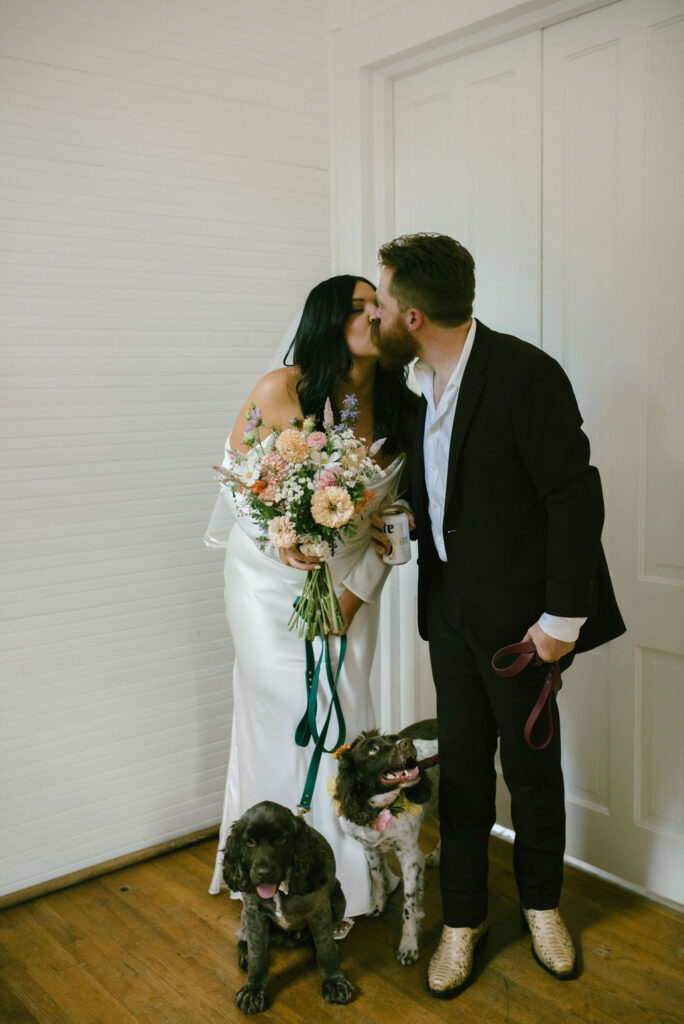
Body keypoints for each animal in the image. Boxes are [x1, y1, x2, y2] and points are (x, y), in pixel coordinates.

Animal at [223, 802, 356, 1011]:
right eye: (250, 842)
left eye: (280, 840)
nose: (262, 872)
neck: (280, 889)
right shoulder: (254, 913)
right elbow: (258, 955)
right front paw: (253, 991)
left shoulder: (319, 912)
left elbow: (325, 950)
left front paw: (335, 983)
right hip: (245, 914)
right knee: (243, 937)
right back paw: (245, 953)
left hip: (339, 898)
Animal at [329, 716, 438, 962]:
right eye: (373, 750)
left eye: (395, 739)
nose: (407, 743)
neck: (381, 809)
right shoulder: (369, 848)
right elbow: (377, 877)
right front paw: (377, 905)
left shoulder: (408, 854)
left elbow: (409, 903)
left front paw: (409, 944)